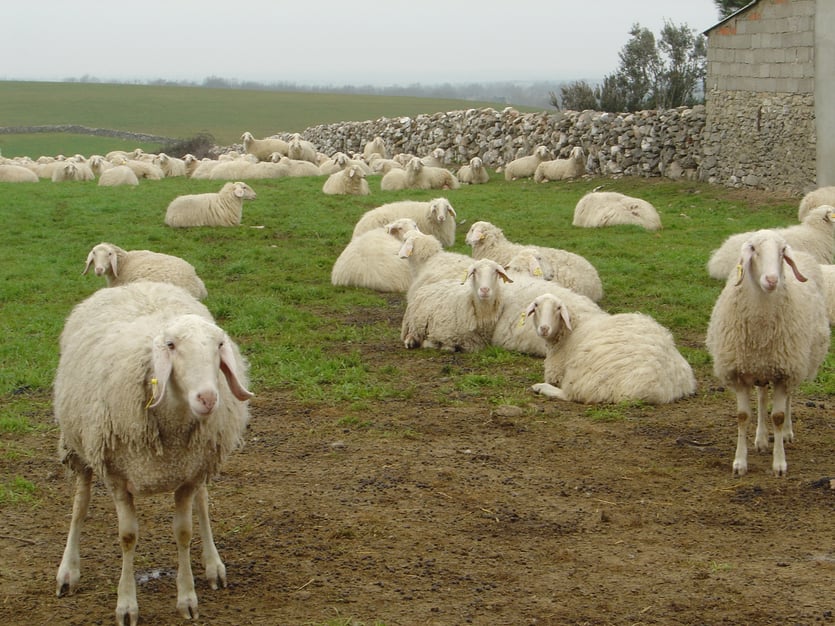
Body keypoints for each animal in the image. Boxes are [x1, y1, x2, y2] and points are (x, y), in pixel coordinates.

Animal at [53, 281, 253, 624]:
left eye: (219, 346)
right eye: (171, 346)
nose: (207, 399)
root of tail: (138, 284)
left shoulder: (188, 474)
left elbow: (184, 532)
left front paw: (187, 598)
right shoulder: (117, 476)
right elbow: (127, 537)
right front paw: (126, 604)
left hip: (202, 461)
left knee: (203, 504)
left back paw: (213, 565)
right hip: (78, 446)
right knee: (80, 504)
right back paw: (68, 571)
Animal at [527, 293, 696, 403]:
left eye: (558, 308)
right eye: (536, 306)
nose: (544, 328)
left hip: (586, 372)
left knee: (571, 394)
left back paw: (541, 387)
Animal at [705, 230, 830, 476]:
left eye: (782, 252)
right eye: (753, 249)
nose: (772, 280)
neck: (760, 331)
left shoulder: (785, 372)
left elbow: (778, 417)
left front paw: (779, 464)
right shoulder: (739, 372)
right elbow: (743, 416)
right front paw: (740, 462)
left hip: (793, 363)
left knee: (788, 399)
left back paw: (787, 433)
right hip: (761, 367)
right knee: (762, 396)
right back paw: (761, 439)